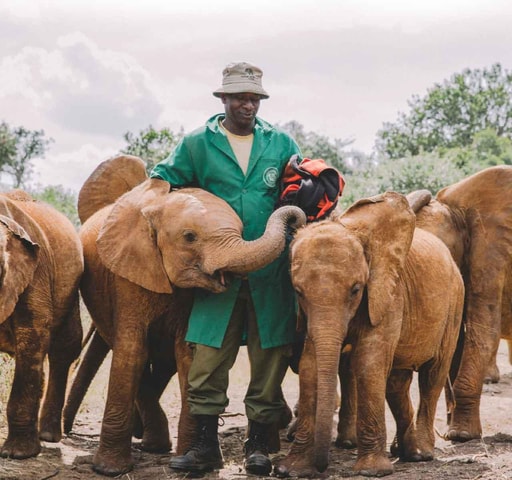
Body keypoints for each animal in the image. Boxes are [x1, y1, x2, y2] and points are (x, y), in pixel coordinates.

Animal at [0, 188, 82, 458]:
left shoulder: (35, 272)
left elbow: (33, 334)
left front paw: (17, 454)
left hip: (70, 289)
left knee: (63, 349)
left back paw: (47, 436)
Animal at [274, 191, 466, 476]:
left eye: (356, 289)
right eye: (298, 292)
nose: (323, 466)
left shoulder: (387, 293)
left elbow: (368, 361)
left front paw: (372, 471)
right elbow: (311, 365)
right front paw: (291, 470)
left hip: (454, 302)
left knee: (433, 373)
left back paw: (422, 453)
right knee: (397, 382)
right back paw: (405, 452)